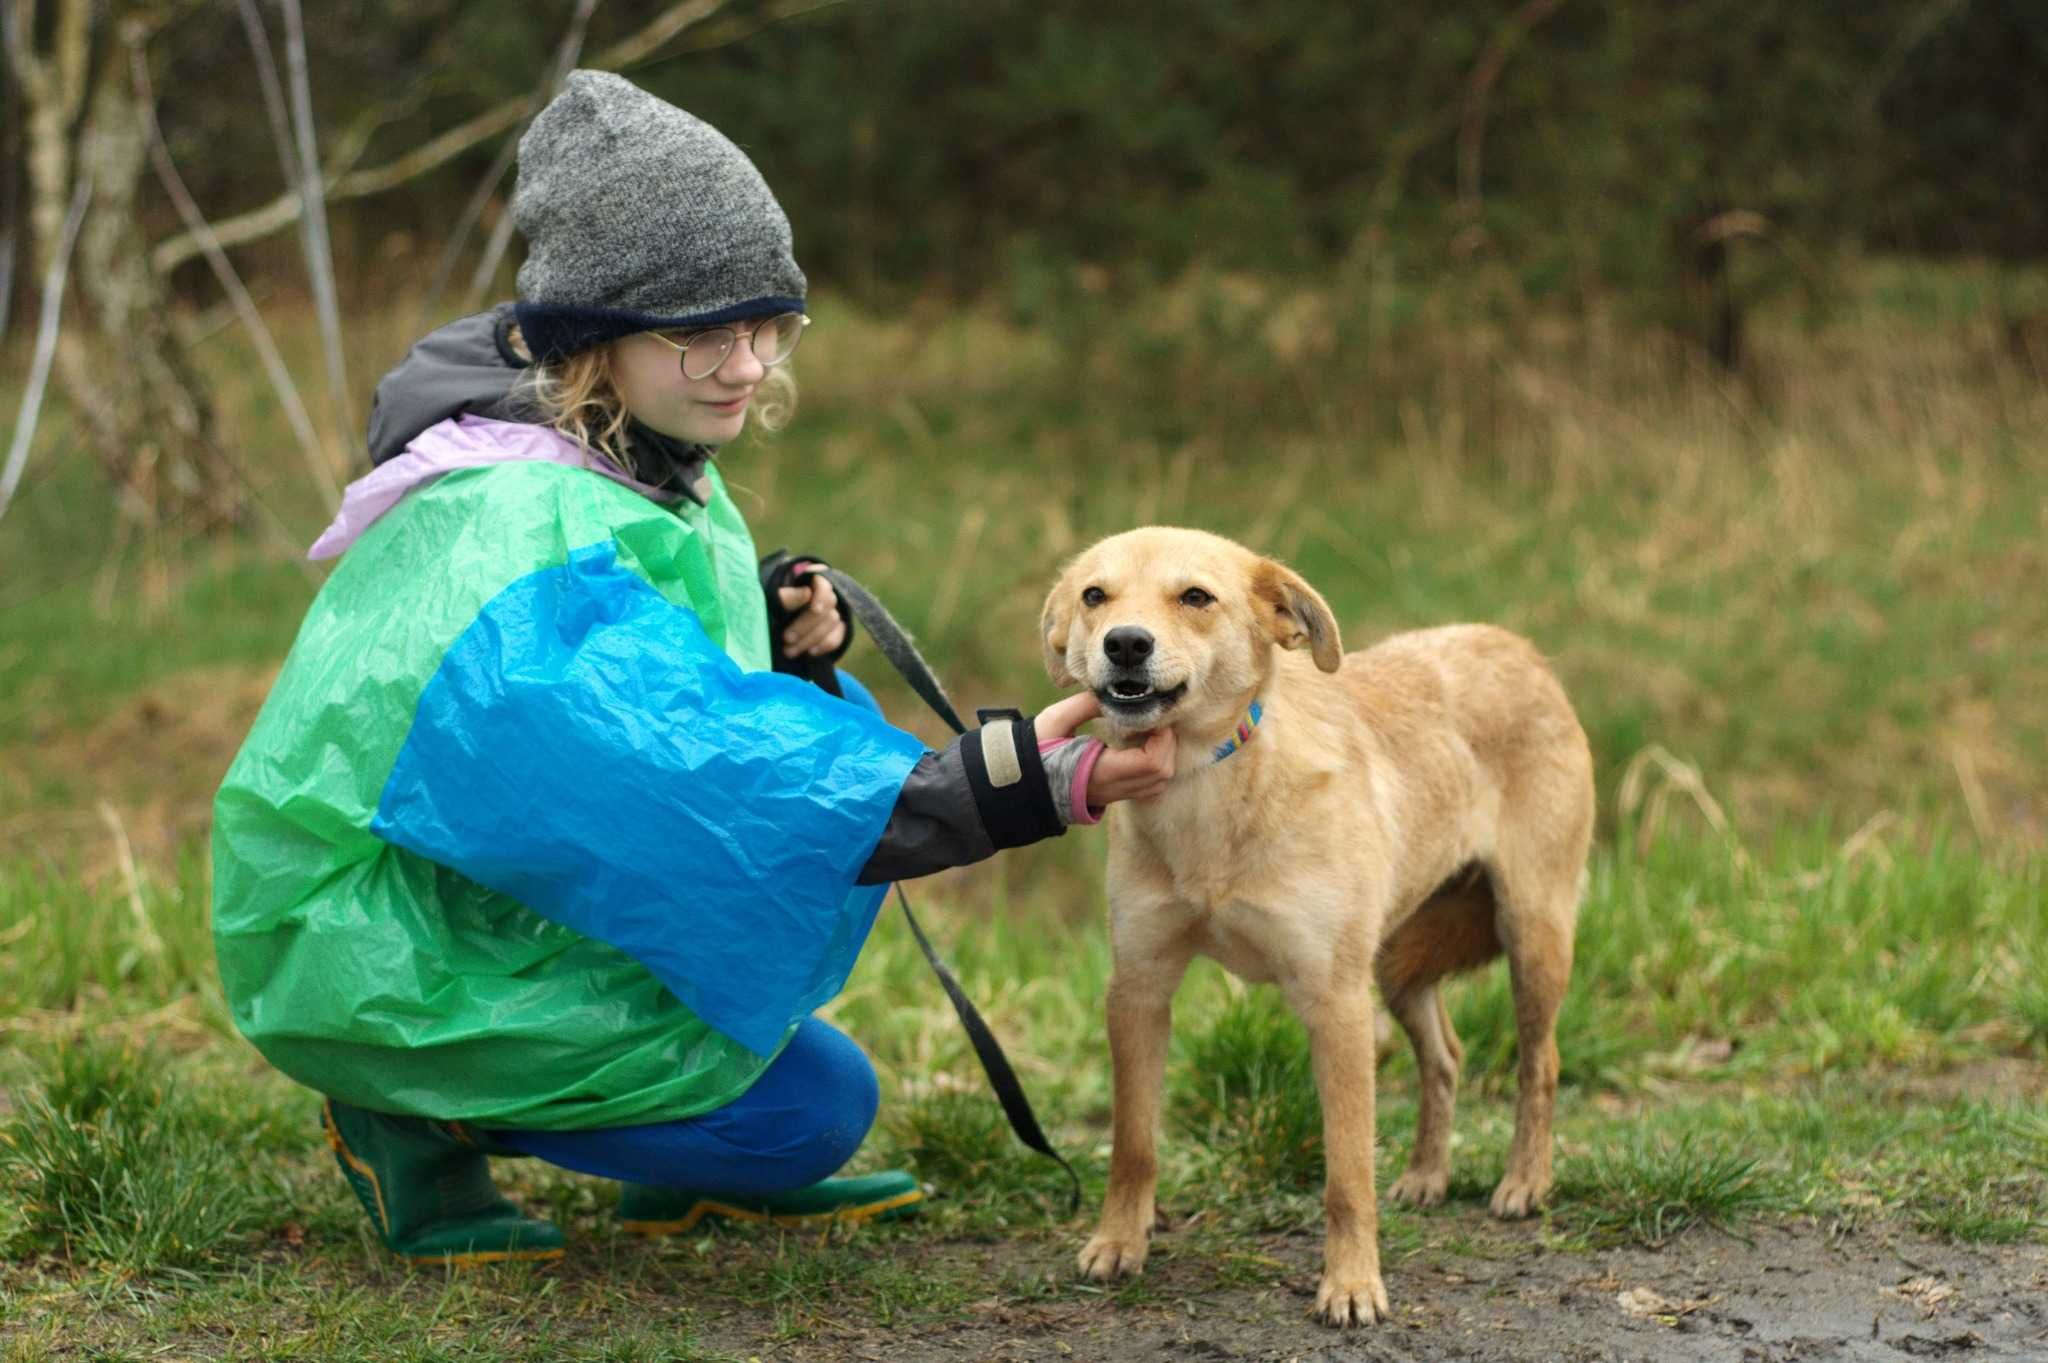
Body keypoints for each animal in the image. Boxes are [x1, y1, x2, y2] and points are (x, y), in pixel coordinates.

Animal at [1040, 523, 1597, 1317]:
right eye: (1095, 596)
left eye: (1195, 597)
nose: (1125, 644)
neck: (1208, 790)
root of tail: (1516, 646)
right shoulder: (1140, 989)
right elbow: (1134, 1143)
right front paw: (1119, 1241)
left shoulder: (1335, 1002)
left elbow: (1346, 1174)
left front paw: (1353, 1284)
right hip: (1396, 963)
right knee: (1446, 1055)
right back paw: (1426, 1175)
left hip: (1531, 934)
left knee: (1538, 1063)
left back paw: (1523, 1182)